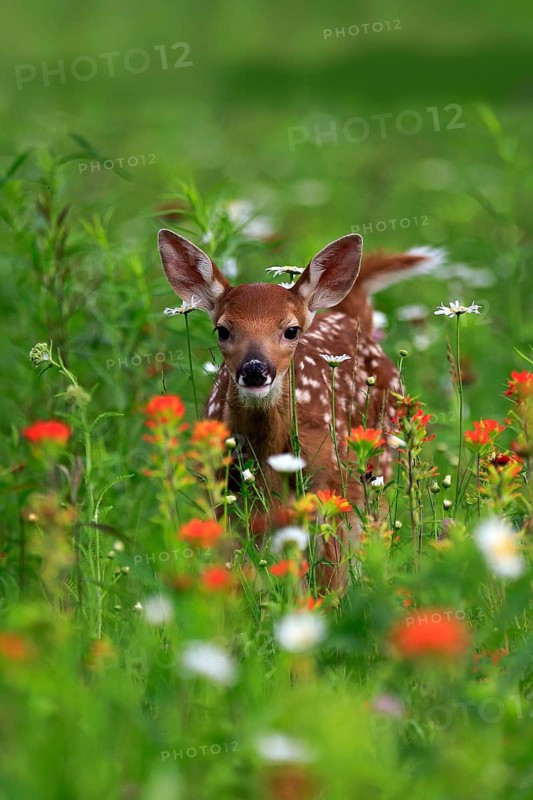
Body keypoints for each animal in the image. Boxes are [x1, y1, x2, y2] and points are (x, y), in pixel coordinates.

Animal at [158, 229, 441, 591]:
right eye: (222, 329)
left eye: (291, 330)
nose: (254, 370)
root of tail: (349, 315)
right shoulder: (225, 494)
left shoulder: (331, 487)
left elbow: (330, 579)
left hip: (376, 472)